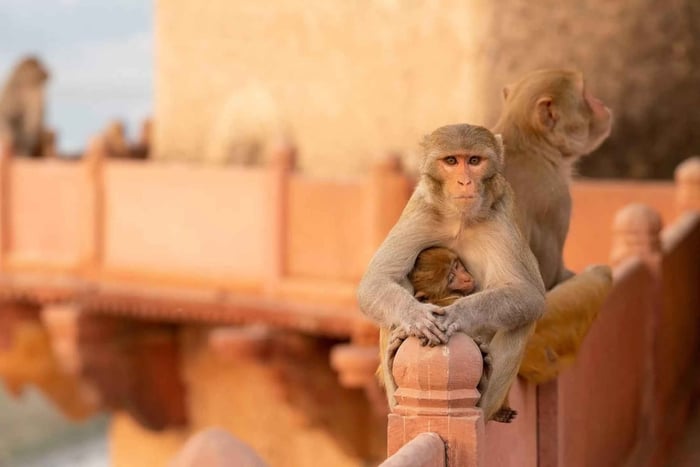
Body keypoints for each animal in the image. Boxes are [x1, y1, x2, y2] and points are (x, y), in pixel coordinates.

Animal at [358, 123, 546, 422]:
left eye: (474, 161)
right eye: (451, 161)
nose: (464, 182)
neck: (460, 218)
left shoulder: (500, 215)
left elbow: (528, 293)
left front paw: (457, 314)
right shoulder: (422, 209)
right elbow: (377, 280)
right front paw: (416, 316)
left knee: (522, 320)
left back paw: (484, 397)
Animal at [493, 69, 615, 383]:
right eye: (585, 95)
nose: (601, 103)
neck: (530, 143)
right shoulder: (557, 198)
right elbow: (551, 273)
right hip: (542, 332)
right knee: (602, 275)